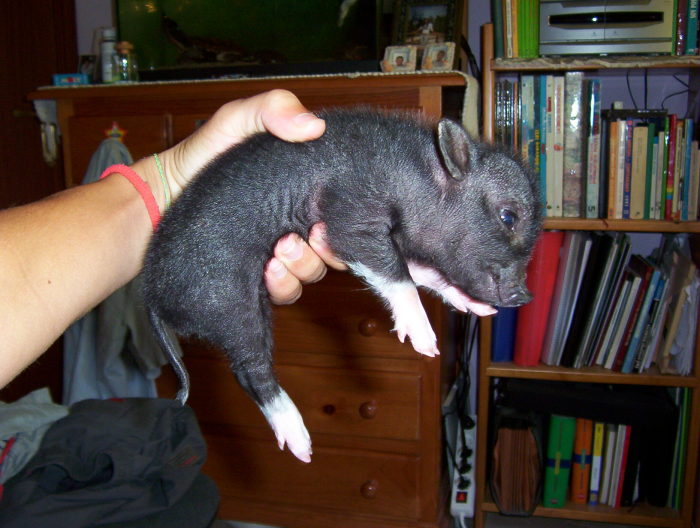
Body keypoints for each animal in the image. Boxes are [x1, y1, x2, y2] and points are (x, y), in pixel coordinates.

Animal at [142, 107, 541, 463]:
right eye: (508, 216)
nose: (525, 296)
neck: (421, 178)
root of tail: (152, 295)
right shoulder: (348, 213)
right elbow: (394, 271)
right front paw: (426, 344)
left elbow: (422, 272)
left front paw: (475, 308)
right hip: (225, 298)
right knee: (248, 368)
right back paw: (302, 446)